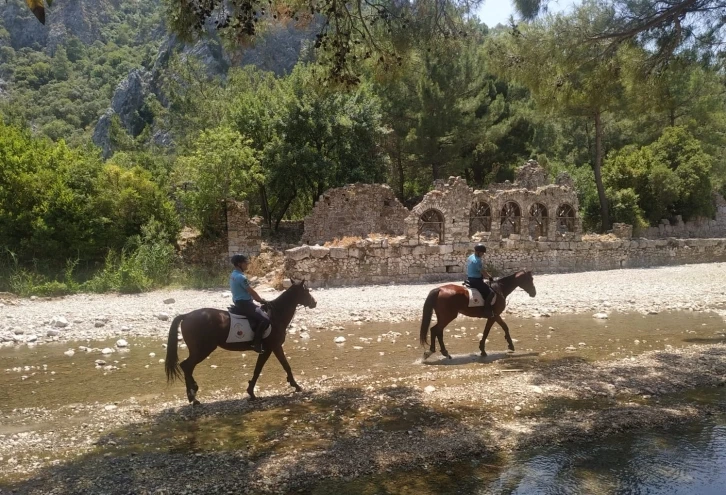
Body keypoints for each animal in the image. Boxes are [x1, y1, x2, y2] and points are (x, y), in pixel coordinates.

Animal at [166, 280, 318, 404]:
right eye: (306, 291)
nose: (314, 302)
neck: (275, 316)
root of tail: (186, 316)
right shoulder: (273, 347)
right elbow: (282, 366)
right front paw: (296, 386)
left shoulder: (269, 349)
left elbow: (261, 369)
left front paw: (251, 392)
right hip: (203, 350)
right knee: (186, 366)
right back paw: (193, 396)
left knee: (187, 367)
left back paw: (192, 395)